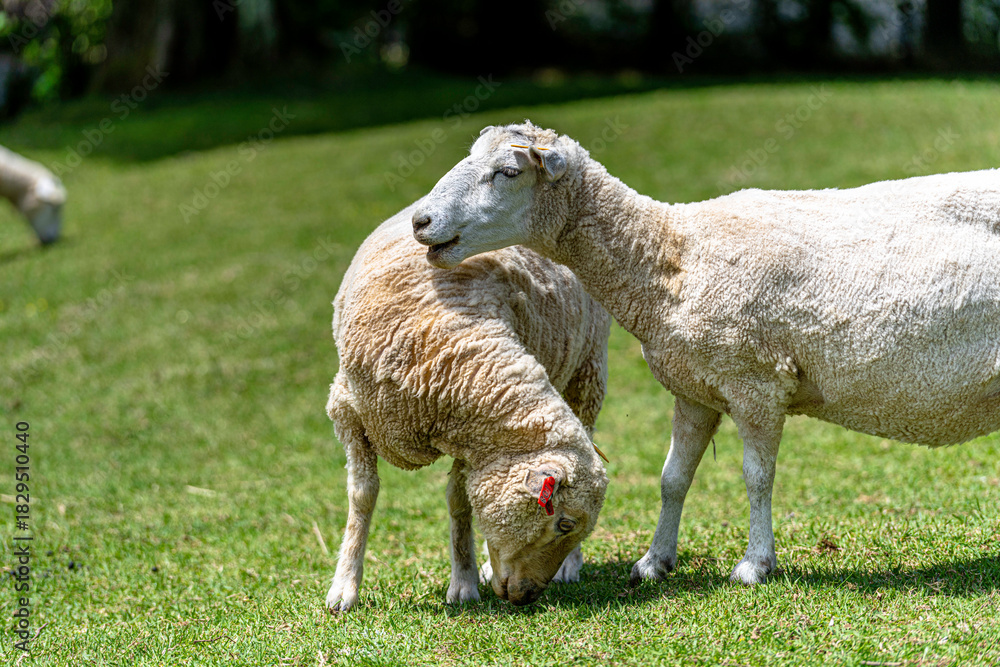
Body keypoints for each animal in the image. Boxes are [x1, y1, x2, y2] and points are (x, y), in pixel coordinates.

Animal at [325, 199, 611, 610]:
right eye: (565, 523)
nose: (528, 595)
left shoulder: (471, 437)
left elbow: (459, 501)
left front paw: (463, 583)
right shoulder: (348, 411)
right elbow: (362, 496)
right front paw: (344, 587)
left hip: (588, 373)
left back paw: (567, 567)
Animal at [410, 121, 1000, 586]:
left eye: (508, 172)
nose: (420, 221)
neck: (669, 255)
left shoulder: (756, 381)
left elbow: (756, 477)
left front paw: (756, 565)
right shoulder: (694, 388)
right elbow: (673, 478)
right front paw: (654, 562)